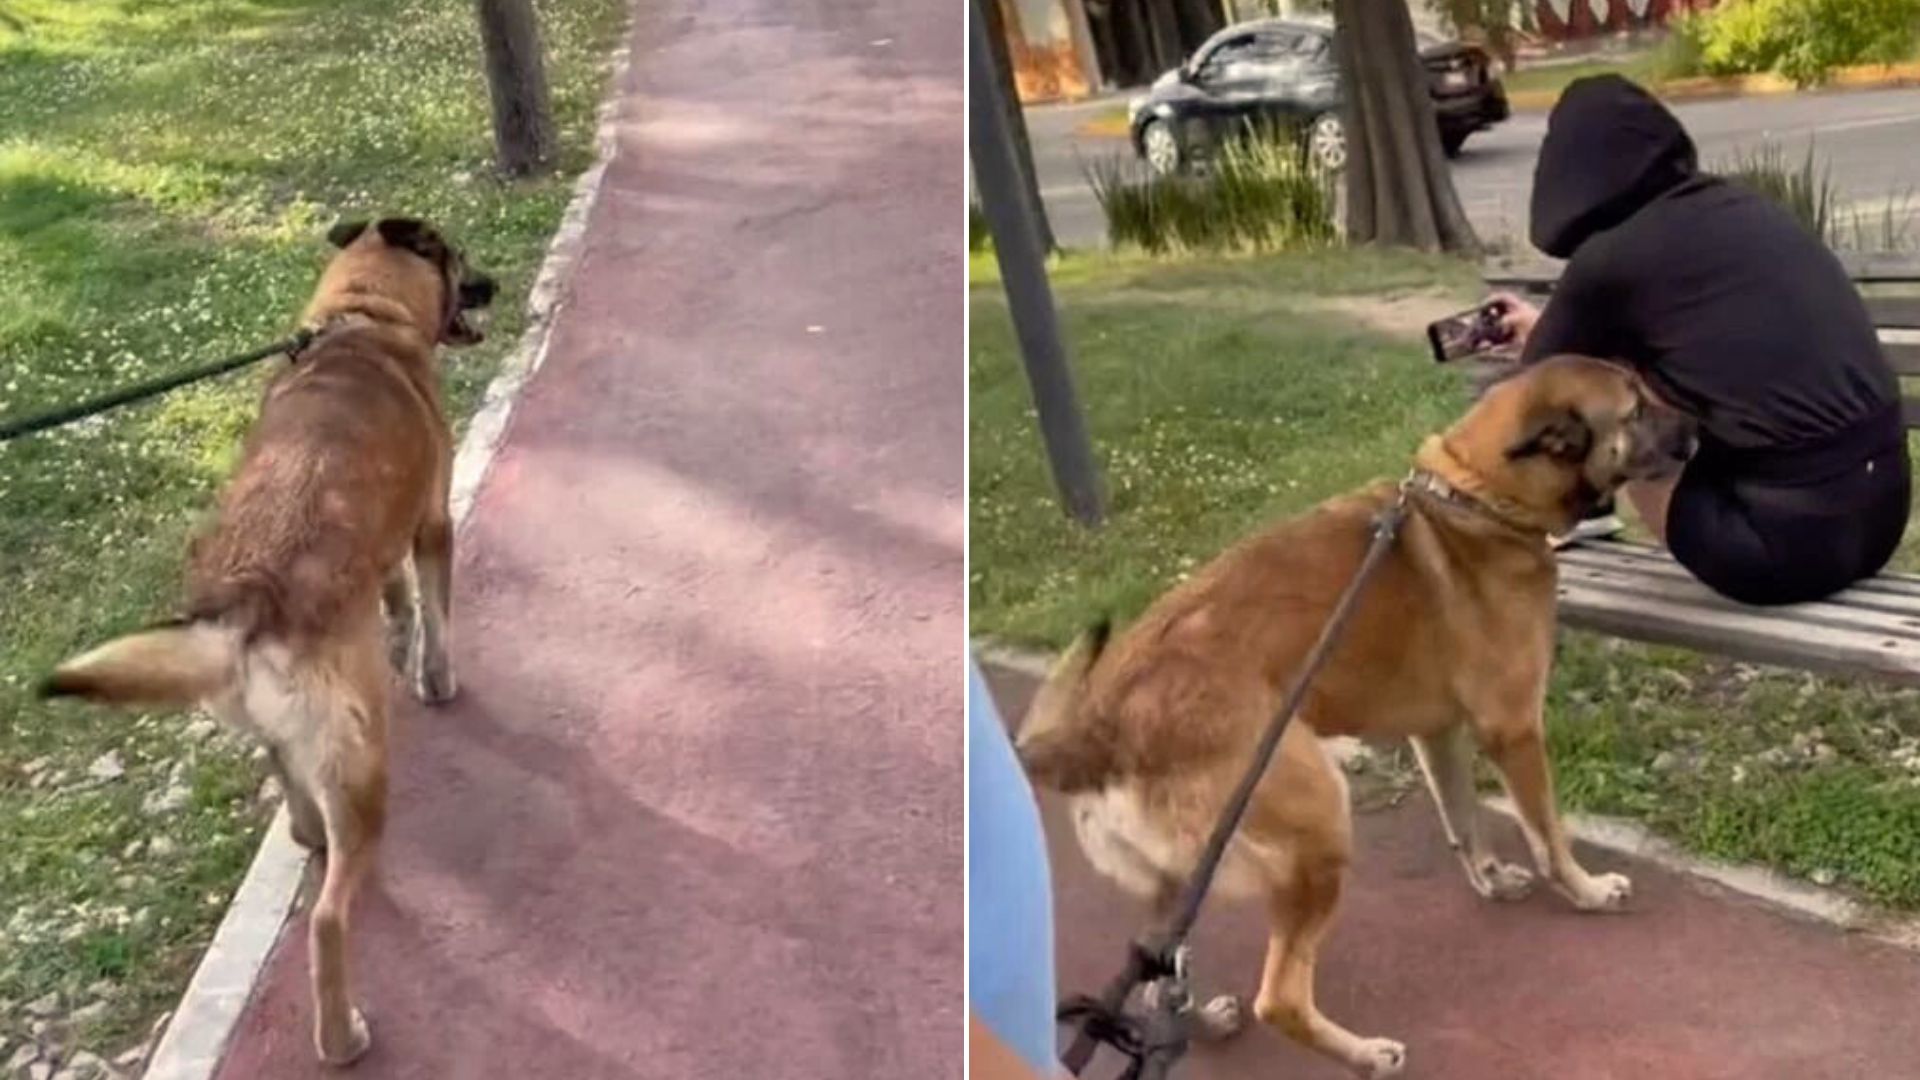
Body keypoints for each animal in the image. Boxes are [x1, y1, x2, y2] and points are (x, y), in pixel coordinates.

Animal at [41, 214, 495, 1060]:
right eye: (458, 257)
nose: (492, 287)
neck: (364, 317)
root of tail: (250, 601)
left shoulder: (388, 547)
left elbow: (398, 599)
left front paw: (400, 636)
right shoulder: (432, 523)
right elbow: (440, 616)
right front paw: (437, 677)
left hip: (287, 734)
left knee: (294, 796)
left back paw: (306, 831)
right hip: (364, 767)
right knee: (327, 918)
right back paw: (341, 1036)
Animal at [1021, 357, 1697, 1068]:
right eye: (1636, 409)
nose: (1700, 426)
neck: (1475, 497)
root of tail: (1099, 726)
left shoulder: (1438, 733)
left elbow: (1464, 823)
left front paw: (1490, 881)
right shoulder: (1513, 730)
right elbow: (1550, 837)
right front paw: (1587, 891)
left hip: (1183, 881)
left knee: (1157, 970)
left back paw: (1192, 1023)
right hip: (1317, 825)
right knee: (1279, 998)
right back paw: (1366, 1055)